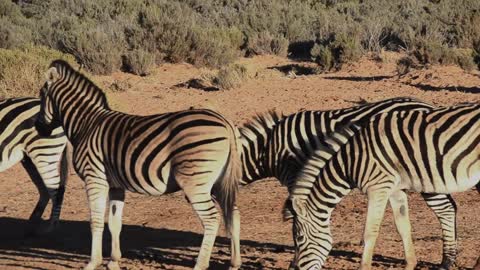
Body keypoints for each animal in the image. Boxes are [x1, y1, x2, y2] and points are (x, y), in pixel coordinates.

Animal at [0, 97, 68, 234]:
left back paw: (51, 227)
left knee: (56, 189)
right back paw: (32, 224)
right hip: (30, 159)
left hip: (45, 152)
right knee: (45, 190)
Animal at [35, 60, 244, 270]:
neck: (86, 125)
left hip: (195, 182)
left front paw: (93, 262)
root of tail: (225, 121)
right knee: (233, 213)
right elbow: (114, 222)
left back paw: (200, 264)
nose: (38, 128)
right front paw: (114, 261)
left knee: (211, 219)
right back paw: (235, 263)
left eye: (41, 95)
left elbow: (96, 221)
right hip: (219, 181)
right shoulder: (116, 185)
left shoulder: (94, 177)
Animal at [238, 97, 460, 268]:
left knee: (445, 209)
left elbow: (300, 221)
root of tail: (426, 105)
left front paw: (296, 259)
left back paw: (447, 261)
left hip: (425, 172)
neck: (267, 148)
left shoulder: (296, 178)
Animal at [288, 102, 480, 268]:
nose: (293, 268)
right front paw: (411, 264)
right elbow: (403, 226)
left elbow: (370, 232)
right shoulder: (396, 190)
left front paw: (364, 267)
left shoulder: (377, 188)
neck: (350, 161)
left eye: (299, 238)